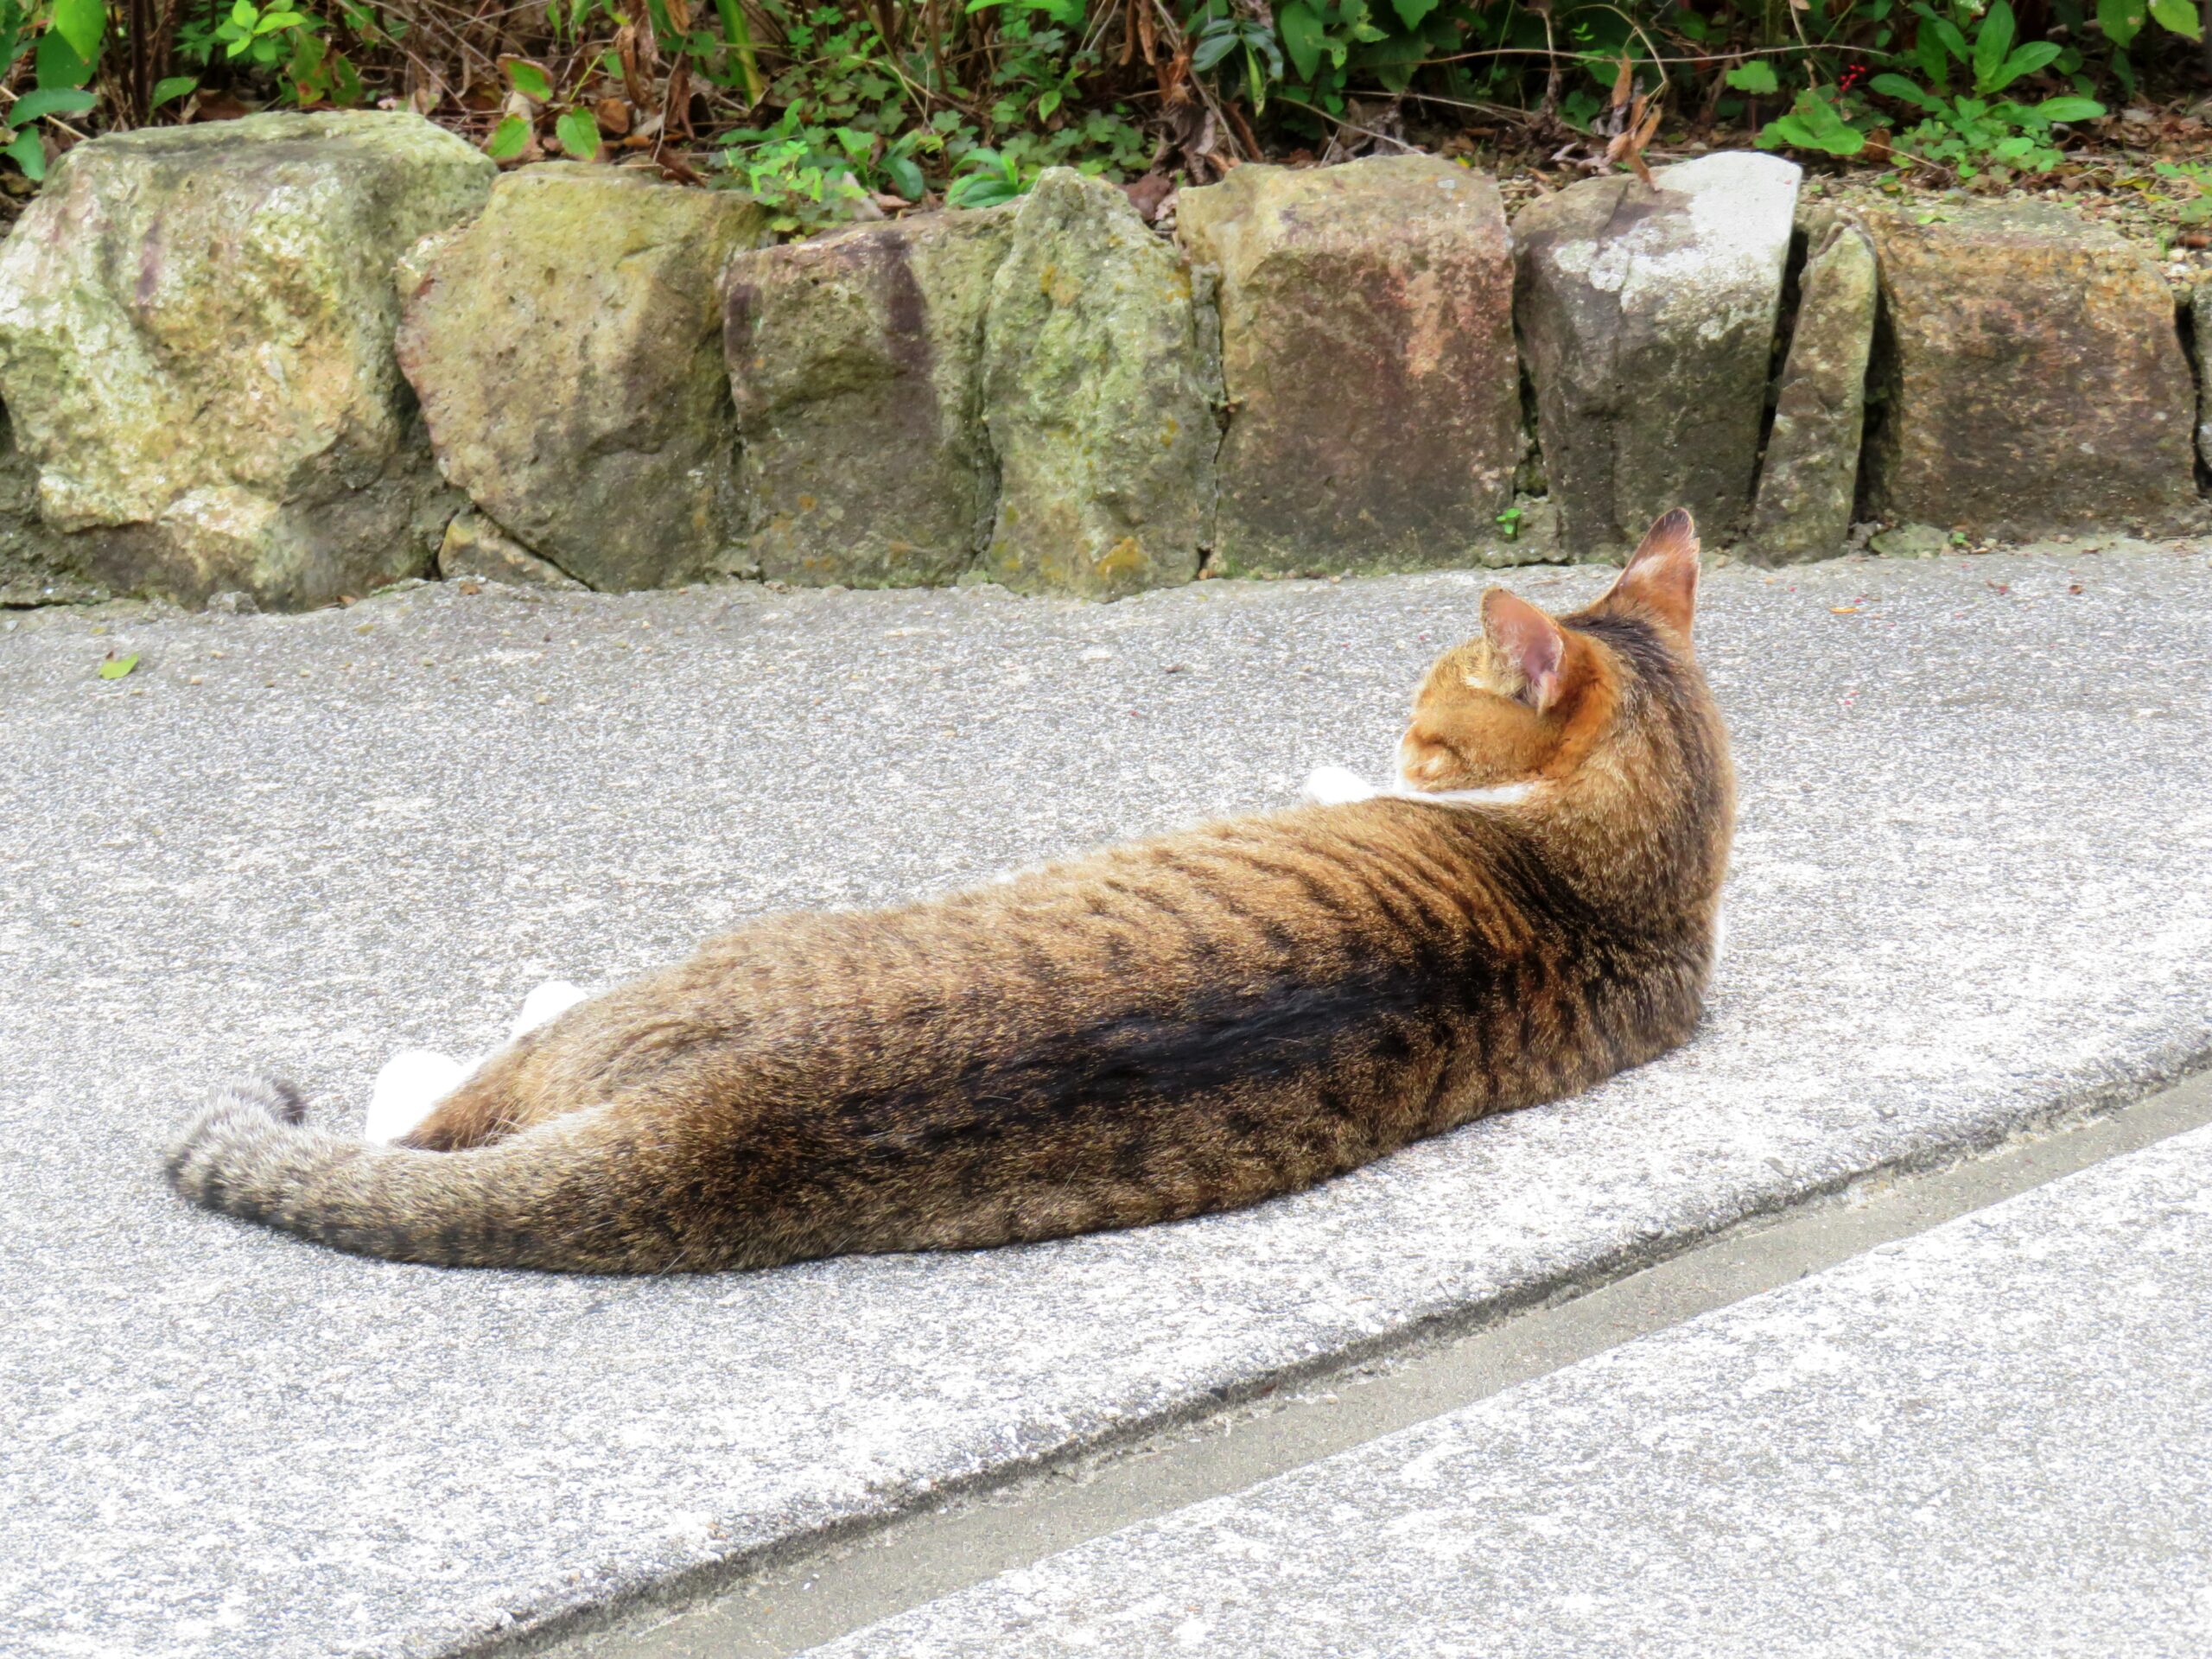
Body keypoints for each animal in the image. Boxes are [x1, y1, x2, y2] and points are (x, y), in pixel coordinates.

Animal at [168, 512, 1725, 1282]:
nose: (1400, 743)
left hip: (649, 996)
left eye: (1424, 725)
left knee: (427, 1114)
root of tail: (718, 1123)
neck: (1625, 884)